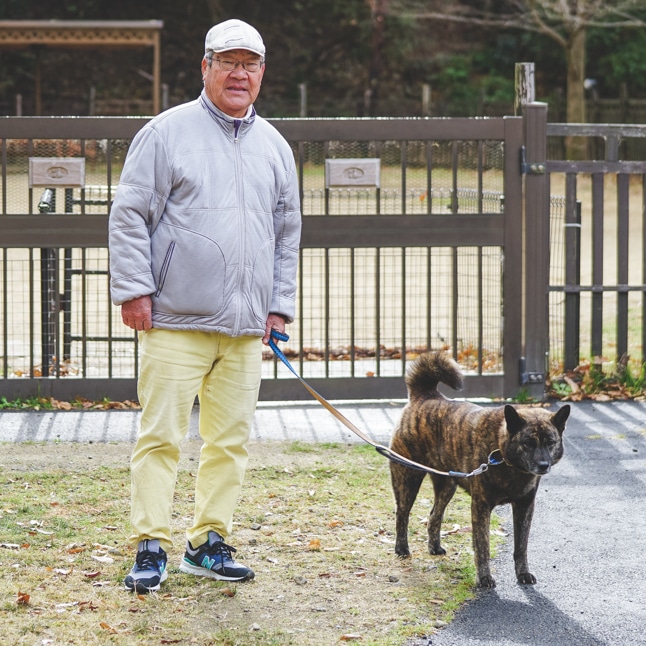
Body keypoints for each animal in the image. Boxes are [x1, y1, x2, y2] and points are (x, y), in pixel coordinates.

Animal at [390, 352, 572, 588]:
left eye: (550, 442)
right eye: (528, 443)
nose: (543, 465)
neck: (503, 457)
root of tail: (425, 395)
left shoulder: (524, 506)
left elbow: (521, 546)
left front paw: (523, 573)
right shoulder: (480, 507)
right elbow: (482, 546)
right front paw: (484, 577)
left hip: (447, 486)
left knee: (434, 516)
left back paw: (434, 547)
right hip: (408, 478)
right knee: (402, 514)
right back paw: (401, 548)